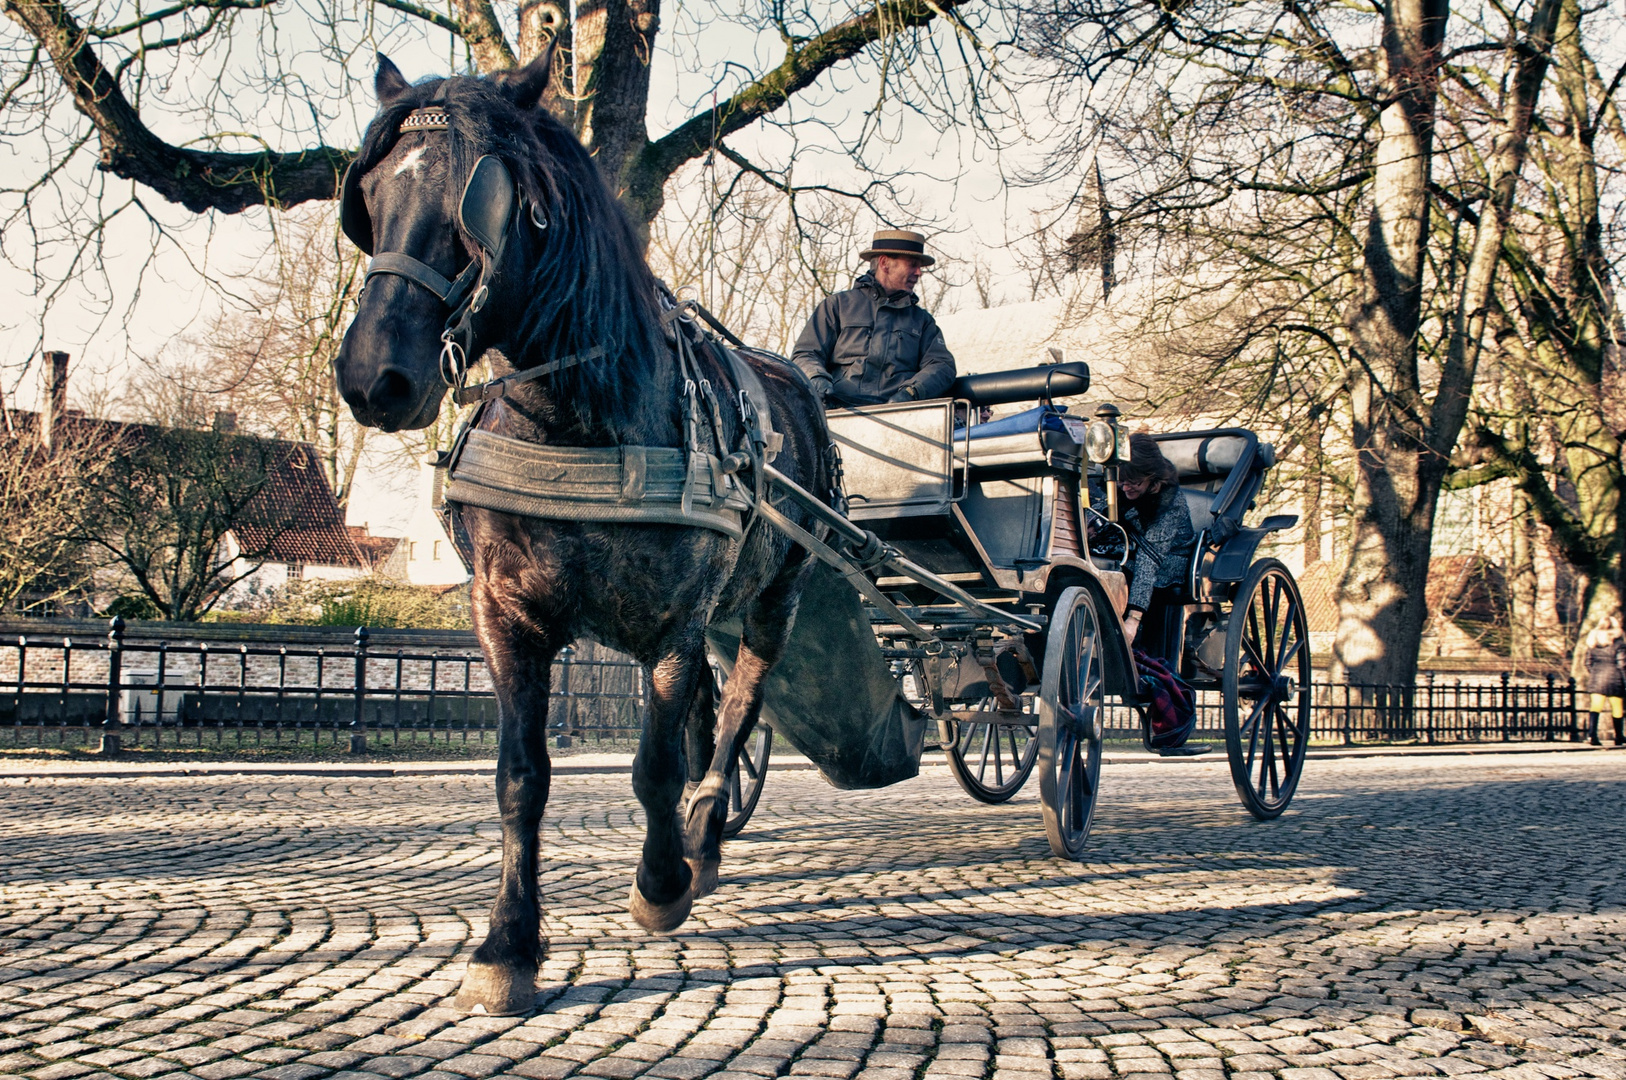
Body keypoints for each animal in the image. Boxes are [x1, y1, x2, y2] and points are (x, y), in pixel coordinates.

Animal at [334, 50, 832, 1014]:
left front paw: (661, 884)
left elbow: (656, 765)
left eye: (474, 198)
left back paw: (700, 840)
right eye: (367, 198)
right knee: (712, 715)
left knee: (737, 714)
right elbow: (520, 777)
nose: (373, 375)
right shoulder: (507, 617)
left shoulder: (673, 624)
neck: (575, 417)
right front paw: (508, 945)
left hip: (774, 598)